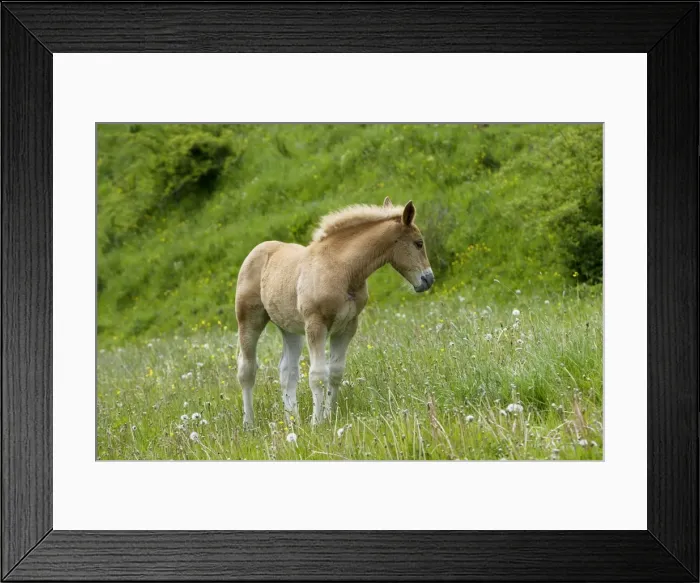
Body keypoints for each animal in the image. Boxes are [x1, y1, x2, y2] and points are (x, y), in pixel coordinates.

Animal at [234, 197, 434, 427]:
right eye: (418, 243)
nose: (428, 279)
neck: (342, 269)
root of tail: (257, 250)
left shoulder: (347, 327)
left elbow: (335, 373)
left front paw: (329, 416)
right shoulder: (316, 324)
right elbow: (318, 374)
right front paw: (316, 423)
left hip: (290, 330)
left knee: (287, 372)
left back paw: (293, 421)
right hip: (249, 320)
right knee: (247, 369)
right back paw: (249, 423)